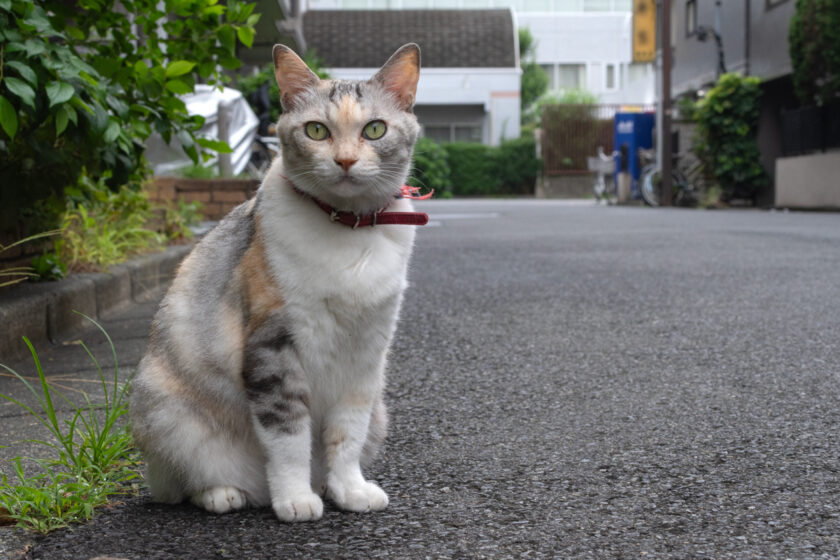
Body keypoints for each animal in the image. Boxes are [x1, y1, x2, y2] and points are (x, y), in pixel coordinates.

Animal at [131, 42, 426, 520]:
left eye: (375, 129)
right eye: (317, 130)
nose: (345, 160)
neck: (348, 231)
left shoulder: (366, 354)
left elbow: (346, 434)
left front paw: (349, 490)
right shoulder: (272, 347)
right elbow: (288, 436)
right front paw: (295, 499)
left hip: (382, 411)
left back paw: (322, 485)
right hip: (164, 407)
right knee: (183, 481)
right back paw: (227, 493)